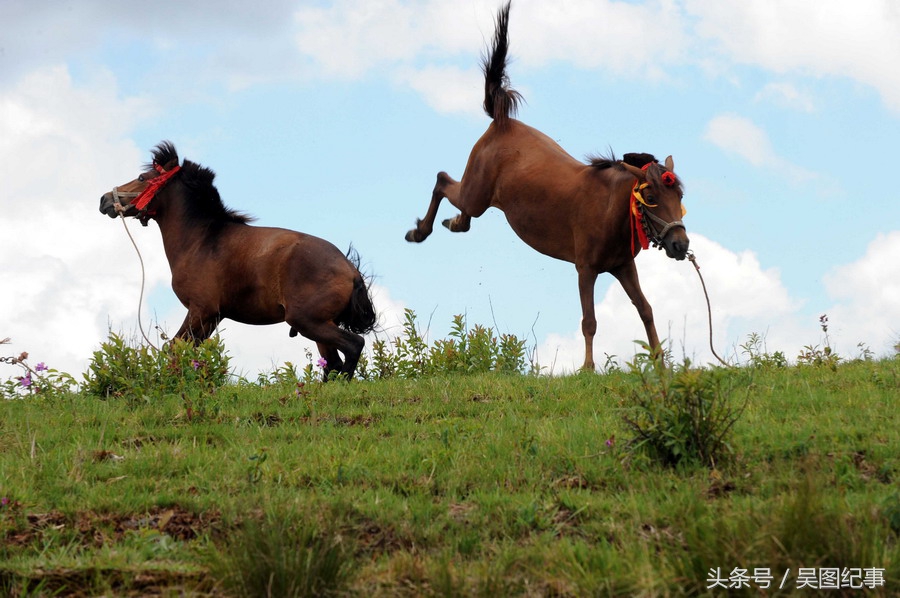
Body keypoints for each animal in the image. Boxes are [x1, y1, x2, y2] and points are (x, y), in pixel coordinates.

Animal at [99, 142, 376, 380]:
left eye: (142, 178)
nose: (104, 200)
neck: (201, 239)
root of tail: (350, 270)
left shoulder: (200, 310)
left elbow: (175, 348)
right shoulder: (211, 317)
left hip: (308, 321)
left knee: (353, 347)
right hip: (319, 326)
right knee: (333, 364)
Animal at [404, 2, 692, 372]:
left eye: (680, 196)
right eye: (651, 197)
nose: (680, 244)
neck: (609, 208)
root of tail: (502, 121)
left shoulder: (623, 267)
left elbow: (646, 309)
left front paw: (660, 365)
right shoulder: (586, 269)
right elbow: (589, 320)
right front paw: (587, 368)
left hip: (477, 197)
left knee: (459, 206)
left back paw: (454, 223)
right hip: (476, 193)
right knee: (443, 181)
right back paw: (420, 231)